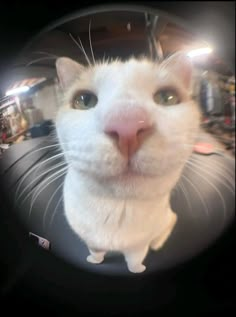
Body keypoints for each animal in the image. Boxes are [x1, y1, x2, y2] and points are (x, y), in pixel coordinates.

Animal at [55, 53, 201, 272]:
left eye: (167, 97)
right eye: (84, 100)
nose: (127, 126)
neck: (115, 209)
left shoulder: (138, 246)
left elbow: (134, 259)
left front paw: (137, 270)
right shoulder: (91, 240)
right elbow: (95, 251)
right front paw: (94, 261)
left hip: (166, 218)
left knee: (170, 222)